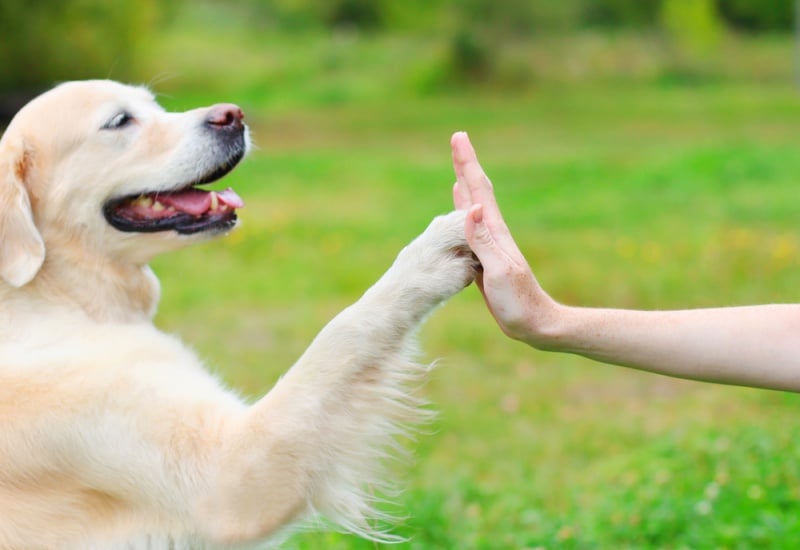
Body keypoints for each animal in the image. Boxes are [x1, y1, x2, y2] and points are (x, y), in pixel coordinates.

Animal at [0, 80, 476, 548]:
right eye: (119, 121)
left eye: (155, 105)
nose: (232, 115)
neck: (59, 297)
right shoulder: (228, 477)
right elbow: (344, 332)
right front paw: (433, 253)